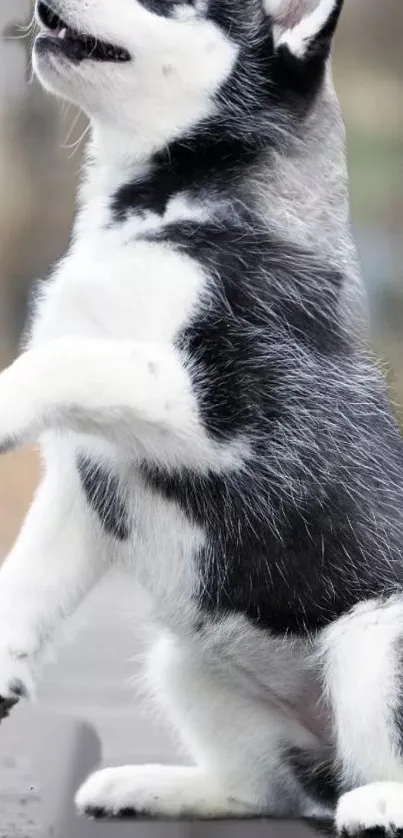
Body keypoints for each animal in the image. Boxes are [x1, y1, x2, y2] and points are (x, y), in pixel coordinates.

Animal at [0, 0, 403, 832]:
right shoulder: (83, 477)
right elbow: (27, 577)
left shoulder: (233, 408)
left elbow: (76, 358)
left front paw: (1, 402)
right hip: (186, 659)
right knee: (263, 788)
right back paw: (155, 784)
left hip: (374, 635)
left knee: (363, 768)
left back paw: (380, 799)